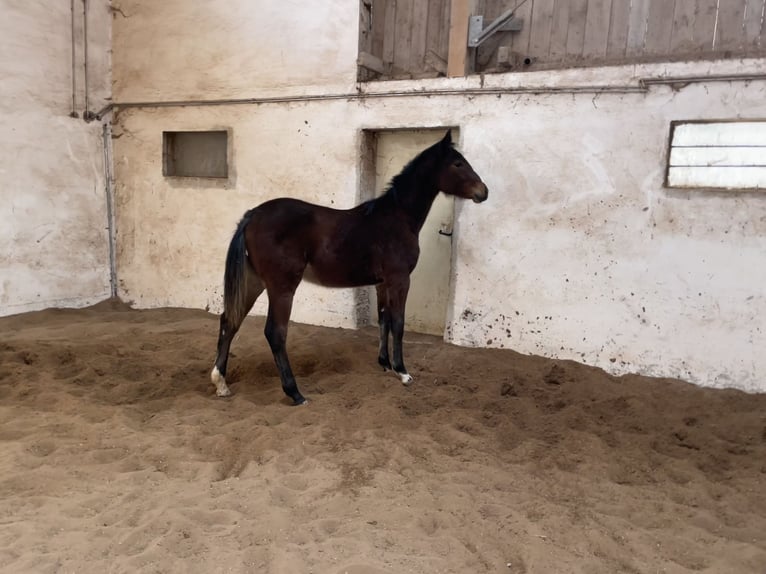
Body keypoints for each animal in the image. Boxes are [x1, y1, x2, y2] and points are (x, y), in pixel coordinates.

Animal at [210, 130, 488, 405]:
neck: (397, 218)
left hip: (254, 281)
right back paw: (295, 393)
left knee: (229, 321)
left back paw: (221, 383)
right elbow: (398, 322)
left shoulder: (382, 283)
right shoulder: (399, 279)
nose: (483, 192)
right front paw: (403, 372)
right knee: (275, 333)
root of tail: (252, 215)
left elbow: (384, 319)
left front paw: (385, 363)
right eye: (458, 163)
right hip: (282, 287)